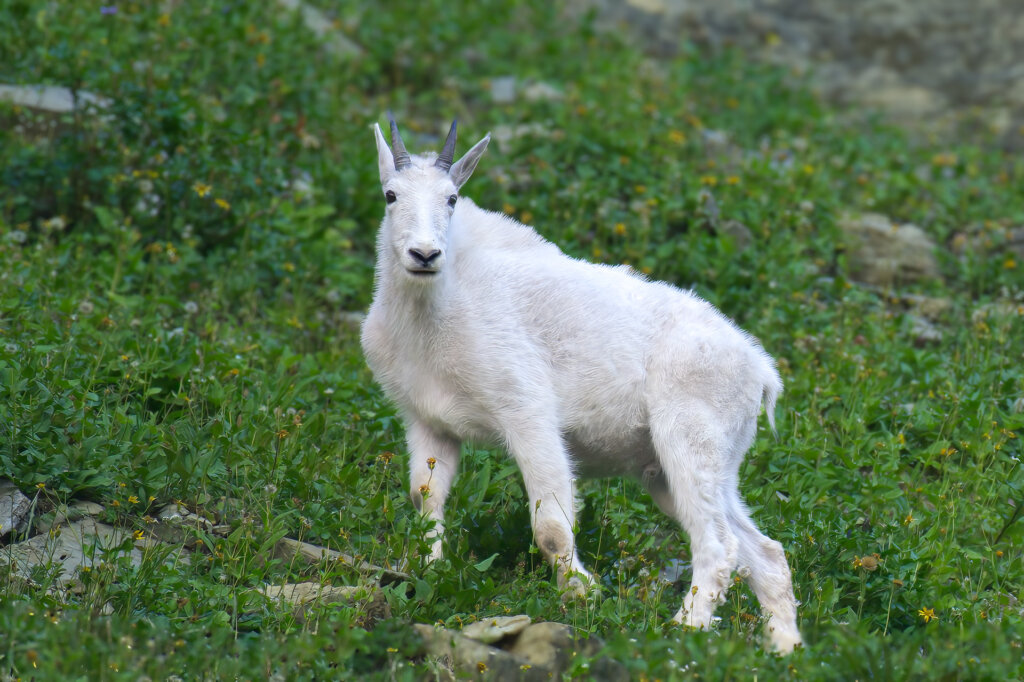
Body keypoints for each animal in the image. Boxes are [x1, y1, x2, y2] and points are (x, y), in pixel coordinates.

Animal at [364, 119, 802, 651]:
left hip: (689, 438)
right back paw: (785, 649)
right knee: (764, 551)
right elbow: (425, 499)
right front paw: (428, 572)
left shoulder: (526, 412)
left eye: (451, 198)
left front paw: (581, 593)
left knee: (719, 545)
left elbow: (552, 523)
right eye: (390, 195)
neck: (437, 310)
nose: (425, 254)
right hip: (695, 467)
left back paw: (684, 630)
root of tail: (760, 371)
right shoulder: (429, 422)